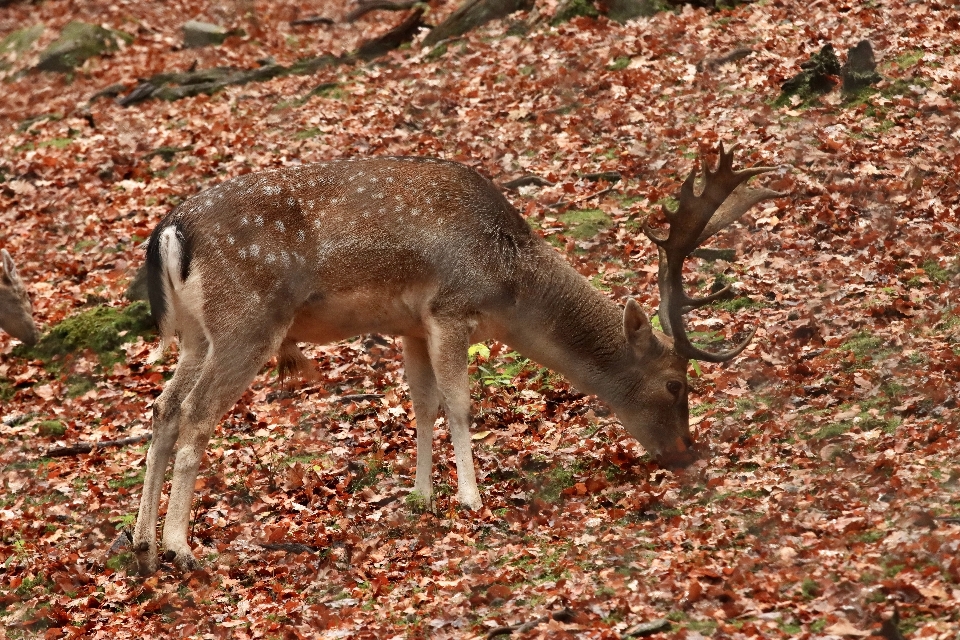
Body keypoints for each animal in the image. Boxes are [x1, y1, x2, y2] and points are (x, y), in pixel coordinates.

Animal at [131, 145, 784, 576]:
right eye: (675, 384)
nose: (685, 452)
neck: (509, 285)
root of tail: (170, 232)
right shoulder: (451, 308)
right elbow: (460, 405)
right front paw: (472, 497)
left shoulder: (411, 324)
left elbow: (421, 406)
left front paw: (422, 496)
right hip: (246, 322)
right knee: (195, 414)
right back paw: (182, 546)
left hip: (197, 335)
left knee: (163, 409)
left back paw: (141, 541)